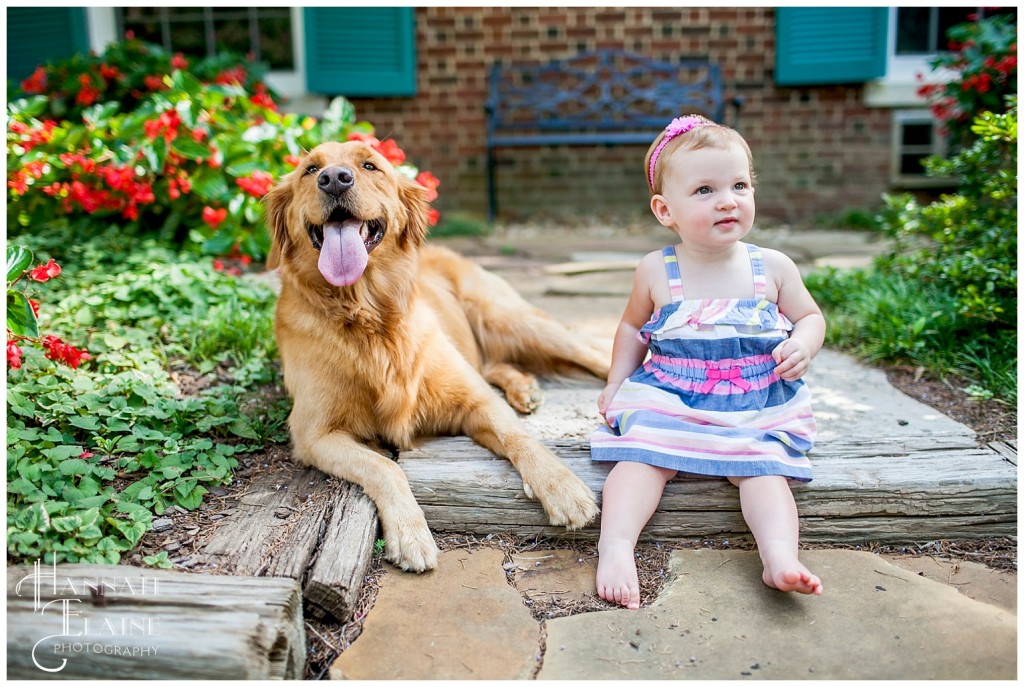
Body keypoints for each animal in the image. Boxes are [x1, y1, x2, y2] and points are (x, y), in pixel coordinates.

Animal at [268, 139, 610, 569]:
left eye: (370, 165)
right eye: (310, 170)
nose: (333, 179)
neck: (367, 314)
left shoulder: (475, 400)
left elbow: (519, 436)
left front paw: (563, 487)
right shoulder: (313, 433)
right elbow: (384, 466)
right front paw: (410, 532)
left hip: (512, 318)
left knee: (594, 352)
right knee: (495, 363)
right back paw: (524, 388)